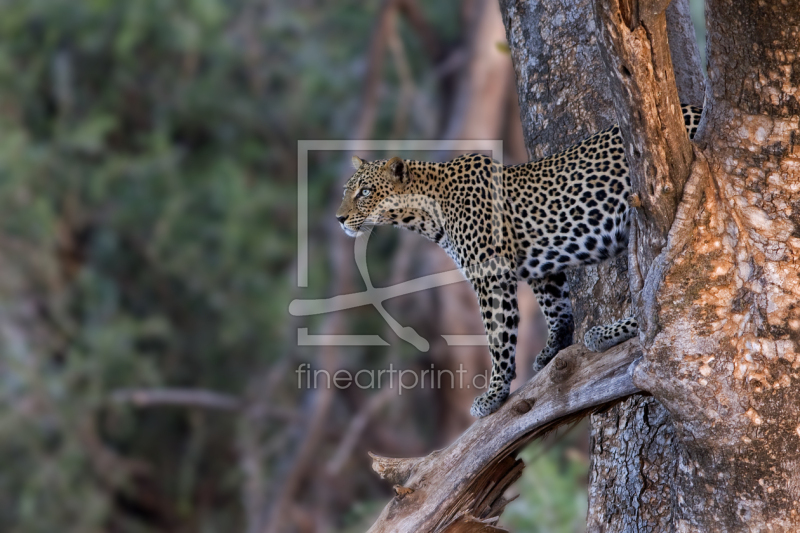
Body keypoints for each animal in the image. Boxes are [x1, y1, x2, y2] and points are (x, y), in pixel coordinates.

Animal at [332, 106, 700, 418]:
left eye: (365, 192)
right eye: (347, 190)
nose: (338, 218)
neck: (427, 214)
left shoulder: (490, 275)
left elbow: (498, 336)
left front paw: (493, 394)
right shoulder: (541, 266)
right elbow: (555, 306)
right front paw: (553, 348)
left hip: (641, 211)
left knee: (659, 291)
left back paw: (608, 332)